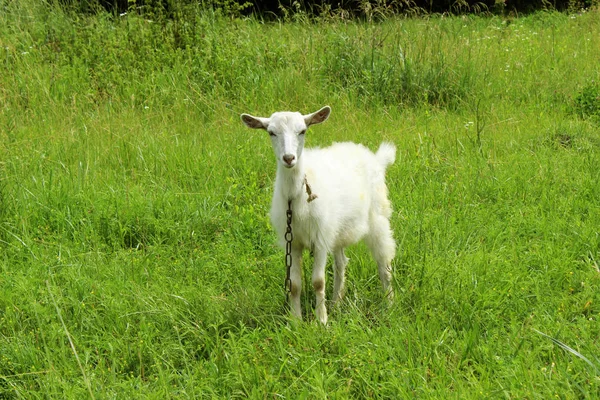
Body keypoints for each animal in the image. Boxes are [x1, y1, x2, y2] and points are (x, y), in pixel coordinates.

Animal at [241, 106, 396, 324]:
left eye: (303, 131)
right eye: (271, 132)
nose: (289, 158)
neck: (295, 197)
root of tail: (376, 158)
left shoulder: (320, 239)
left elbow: (318, 282)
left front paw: (321, 321)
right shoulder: (292, 242)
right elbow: (294, 284)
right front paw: (296, 321)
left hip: (378, 218)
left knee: (384, 263)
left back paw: (388, 304)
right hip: (337, 230)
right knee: (341, 264)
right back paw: (336, 302)